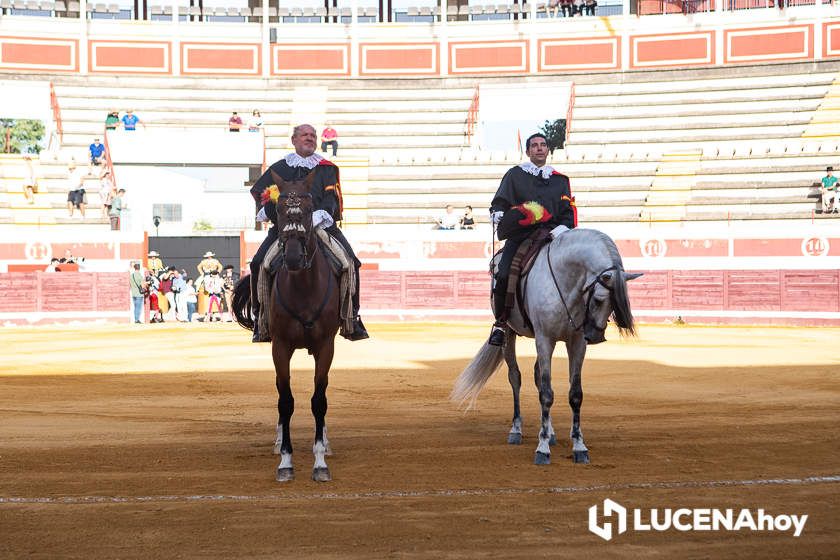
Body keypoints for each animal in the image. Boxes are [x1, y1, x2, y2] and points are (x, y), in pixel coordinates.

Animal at [231, 172, 340, 482]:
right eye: (279, 210)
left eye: (308, 208)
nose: (291, 257)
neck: (303, 288)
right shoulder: (280, 347)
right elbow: (286, 400)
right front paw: (285, 461)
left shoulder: (326, 346)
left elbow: (319, 399)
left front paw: (319, 462)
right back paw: (278, 440)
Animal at [456, 228, 640, 464]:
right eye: (599, 299)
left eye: (614, 304)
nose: (595, 336)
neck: (566, 282)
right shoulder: (544, 339)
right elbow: (546, 393)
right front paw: (542, 449)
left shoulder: (576, 343)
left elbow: (575, 394)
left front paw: (579, 446)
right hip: (509, 333)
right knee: (515, 377)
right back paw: (516, 430)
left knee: (537, 376)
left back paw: (550, 432)